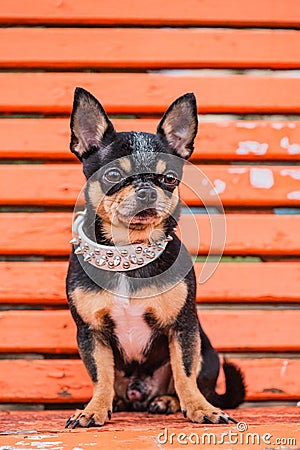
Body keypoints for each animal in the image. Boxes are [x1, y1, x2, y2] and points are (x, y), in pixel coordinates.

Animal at [65, 88, 244, 428]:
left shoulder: (183, 328)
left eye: (170, 178)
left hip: (208, 352)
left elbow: (185, 371)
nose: (147, 190)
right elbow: (100, 376)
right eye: (113, 174)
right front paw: (93, 410)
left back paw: (168, 401)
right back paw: (118, 402)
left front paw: (200, 409)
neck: (128, 254)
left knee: (190, 379)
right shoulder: (91, 333)